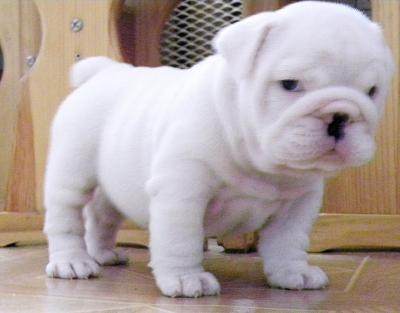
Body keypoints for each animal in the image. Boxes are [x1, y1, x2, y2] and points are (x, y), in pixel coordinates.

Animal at [43, 1, 394, 296]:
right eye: (290, 84)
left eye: (372, 91)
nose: (340, 116)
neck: (257, 159)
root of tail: (103, 72)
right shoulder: (182, 193)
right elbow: (180, 239)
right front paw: (185, 278)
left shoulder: (298, 204)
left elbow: (288, 241)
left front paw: (292, 272)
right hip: (72, 174)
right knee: (66, 217)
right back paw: (72, 261)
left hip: (112, 185)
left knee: (101, 217)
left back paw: (104, 253)